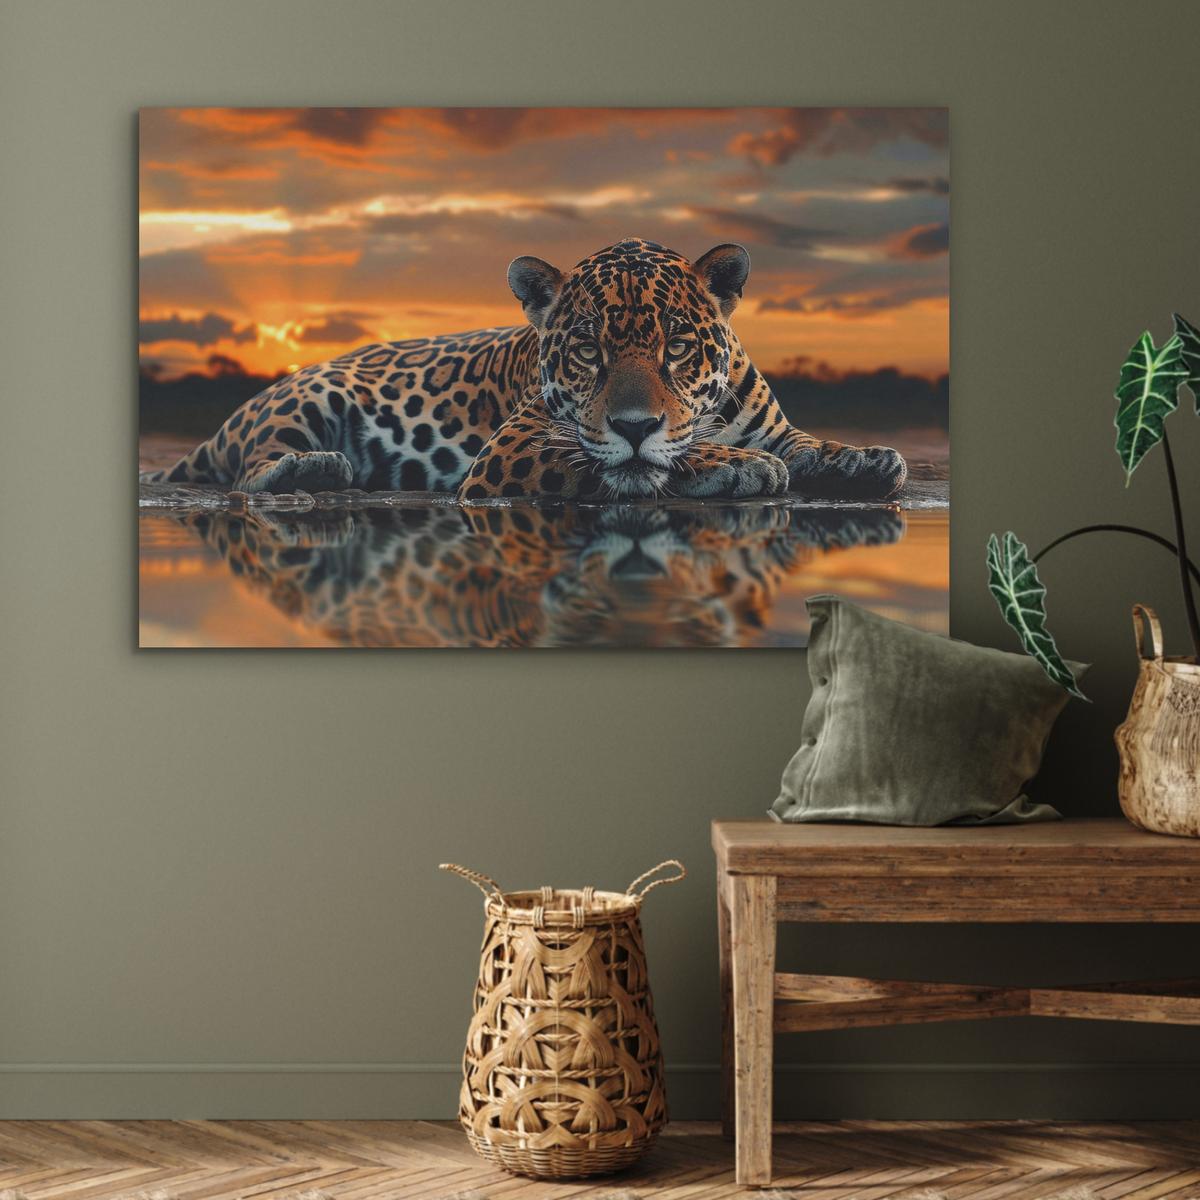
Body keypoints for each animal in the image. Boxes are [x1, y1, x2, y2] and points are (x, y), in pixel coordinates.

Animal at [141, 238, 907, 503]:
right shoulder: (516, 446)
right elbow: (636, 461)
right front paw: (733, 465)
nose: (634, 423)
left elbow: (809, 445)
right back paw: (316, 469)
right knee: (249, 470)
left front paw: (868, 459)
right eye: (588, 351)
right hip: (306, 399)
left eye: (678, 348)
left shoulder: (775, 427)